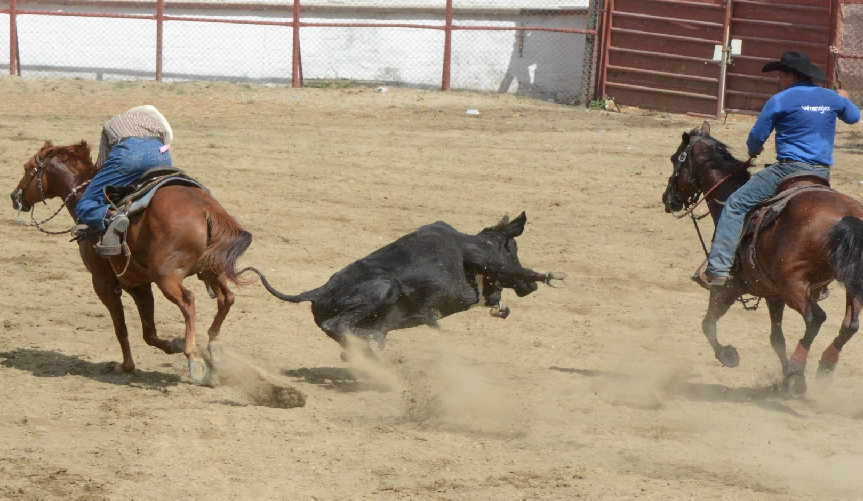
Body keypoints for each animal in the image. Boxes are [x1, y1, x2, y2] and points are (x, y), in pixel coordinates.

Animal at [11, 141, 253, 382]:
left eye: (28, 168)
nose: (15, 197)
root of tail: (205, 209)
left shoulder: (104, 283)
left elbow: (121, 328)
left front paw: (127, 365)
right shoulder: (139, 284)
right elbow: (148, 332)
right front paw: (173, 344)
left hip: (167, 276)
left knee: (188, 301)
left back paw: (193, 357)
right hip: (212, 270)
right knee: (227, 298)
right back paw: (214, 351)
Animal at [664, 122, 863, 394]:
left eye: (675, 159)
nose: (667, 200)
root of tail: (846, 215)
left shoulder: (731, 287)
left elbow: (708, 323)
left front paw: (729, 355)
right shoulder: (772, 294)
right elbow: (776, 339)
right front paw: (784, 377)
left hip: (794, 285)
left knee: (816, 318)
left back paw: (798, 371)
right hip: (848, 282)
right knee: (850, 324)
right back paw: (824, 365)